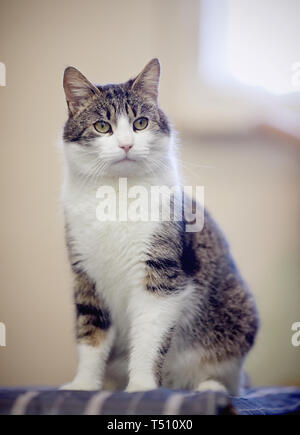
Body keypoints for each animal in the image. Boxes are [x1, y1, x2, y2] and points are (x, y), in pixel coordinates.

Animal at [60, 58, 258, 396]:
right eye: (102, 126)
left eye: (140, 123)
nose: (126, 144)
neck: (118, 194)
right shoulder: (86, 278)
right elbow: (91, 336)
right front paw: (83, 386)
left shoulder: (160, 277)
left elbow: (149, 341)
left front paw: (141, 387)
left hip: (236, 317)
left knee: (230, 379)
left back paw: (210, 388)